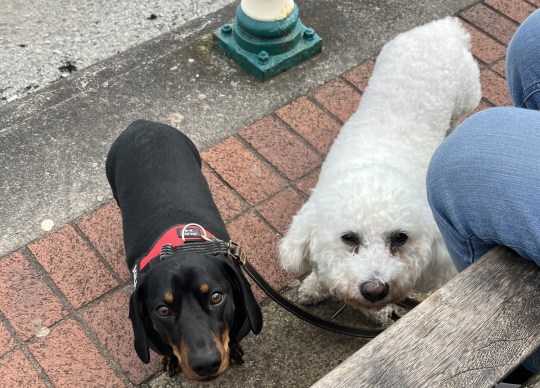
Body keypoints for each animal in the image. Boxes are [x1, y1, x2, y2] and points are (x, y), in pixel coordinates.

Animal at [278, 16, 480, 322]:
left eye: (400, 238)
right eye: (348, 238)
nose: (374, 290)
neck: (377, 161)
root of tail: (445, 27)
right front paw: (314, 287)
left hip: (465, 99)